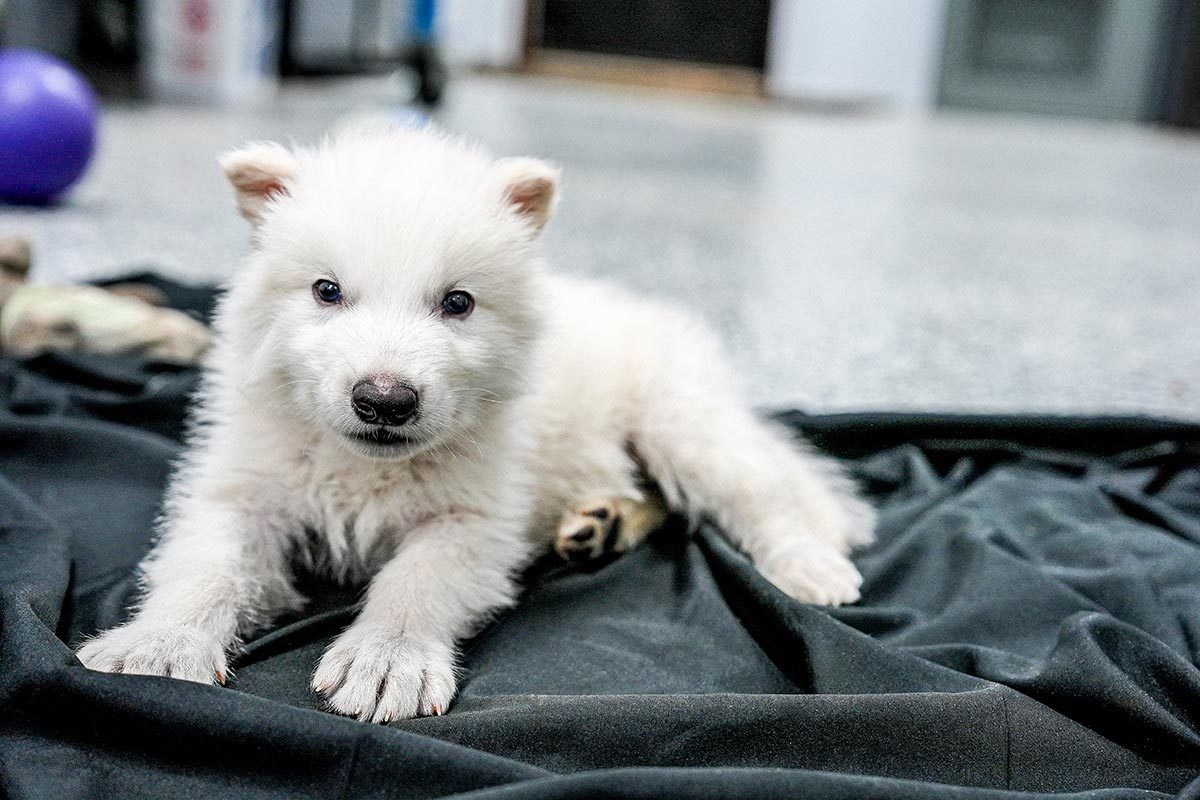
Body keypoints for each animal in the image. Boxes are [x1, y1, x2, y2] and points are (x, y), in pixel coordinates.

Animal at [78, 127, 875, 723]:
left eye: (457, 303)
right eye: (326, 291)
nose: (385, 400)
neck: (362, 466)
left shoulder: (478, 515)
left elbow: (418, 578)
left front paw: (385, 661)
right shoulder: (245, 485)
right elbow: (207, 562)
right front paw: (159, 646)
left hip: (682, 415)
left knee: (757, 488)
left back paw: (809, 565)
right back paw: (602, 521)